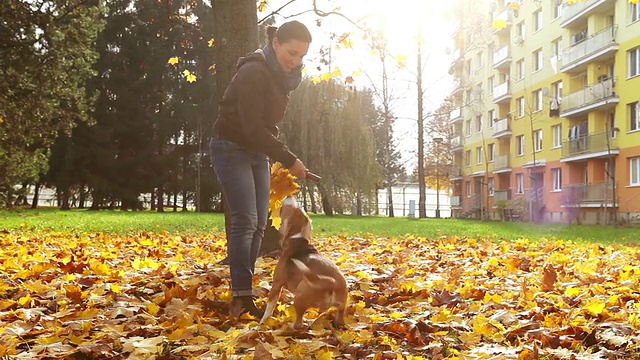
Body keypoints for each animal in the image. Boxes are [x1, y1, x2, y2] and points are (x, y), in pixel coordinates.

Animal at [260, 197, 350, 330]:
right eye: (300, 207)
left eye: (290, 208)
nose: (290, 196)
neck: (298, 239)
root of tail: (332, 283)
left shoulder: (277, 283)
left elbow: (269, 306)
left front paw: (263, 321)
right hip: (340, 307)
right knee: (337, 319)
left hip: (299, 295)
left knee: (299, 324)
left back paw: (291, 326)